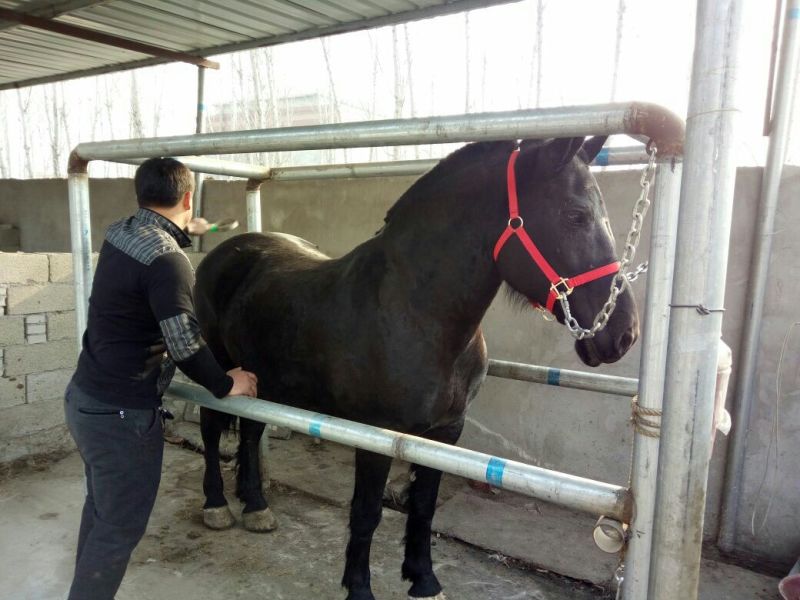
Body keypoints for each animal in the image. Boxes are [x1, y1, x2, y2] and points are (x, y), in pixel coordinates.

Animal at [193, 135, 640, 600]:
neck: (414, 311)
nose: (624, 333)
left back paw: (256, 506)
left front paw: (424, 579)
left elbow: (423, 507)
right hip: (221, 368)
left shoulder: (445, 432)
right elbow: (366, 512)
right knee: (211, 425)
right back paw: (217, 505)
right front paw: (359, 589)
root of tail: (226, 251)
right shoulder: (375, 434)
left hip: (261, 377)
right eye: (575, 215)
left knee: (250, 431)